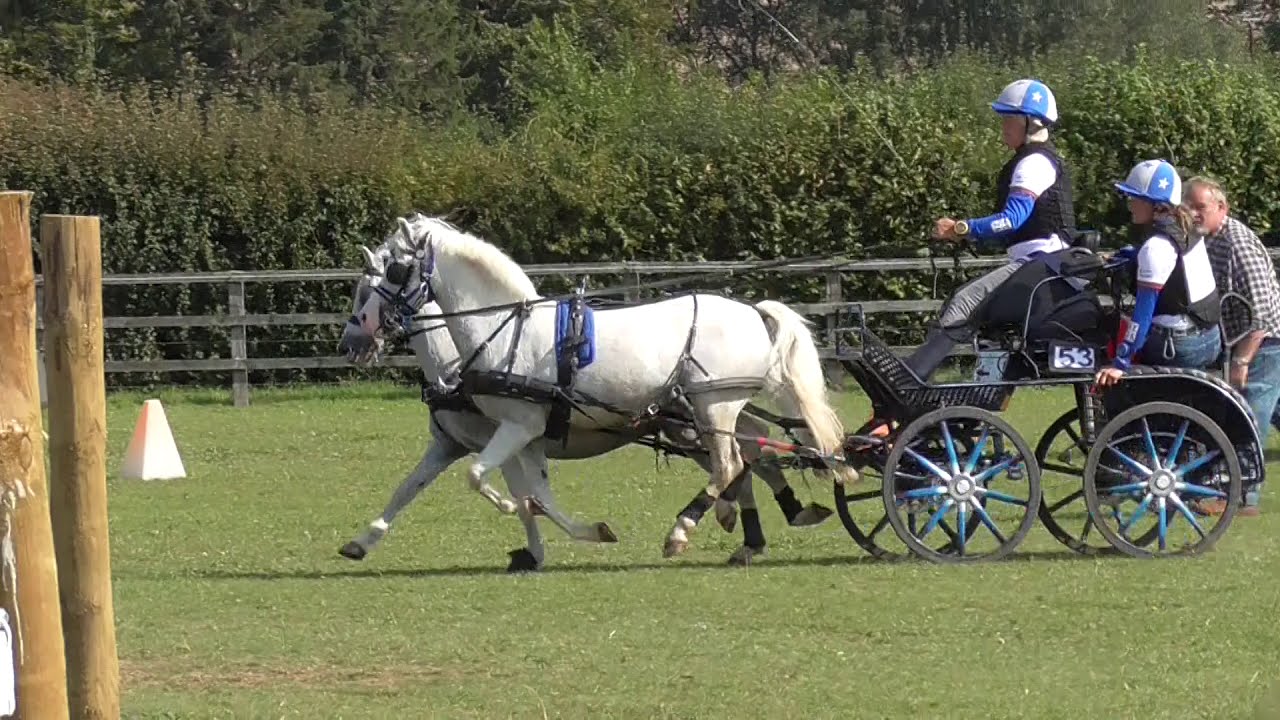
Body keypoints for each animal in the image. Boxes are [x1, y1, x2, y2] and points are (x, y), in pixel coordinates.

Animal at [353, 213, 857, 558]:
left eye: (392, 271)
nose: (358, 333)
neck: (503, 330)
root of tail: (754, 311)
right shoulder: (515, 435)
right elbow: (512, 491)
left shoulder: (518, 426)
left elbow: (482, 479)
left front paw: (523, 520)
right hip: (709, 410)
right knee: (750, 450)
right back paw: (761, 522)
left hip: (713, 405)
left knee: (730, 463)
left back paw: (685, 529)